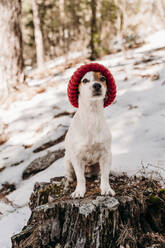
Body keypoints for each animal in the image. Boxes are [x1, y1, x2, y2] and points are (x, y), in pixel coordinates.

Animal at [63, 70, 115, 199]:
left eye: (102, 78)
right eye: (85, 80)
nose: (97, 85)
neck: (92, 115)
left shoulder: (106, 155)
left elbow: (105, 176)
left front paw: (106, 189)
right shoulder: (77, 157)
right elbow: (80, 178)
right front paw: (79, 191)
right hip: (68, 162)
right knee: (72, 175)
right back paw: (68, 181)